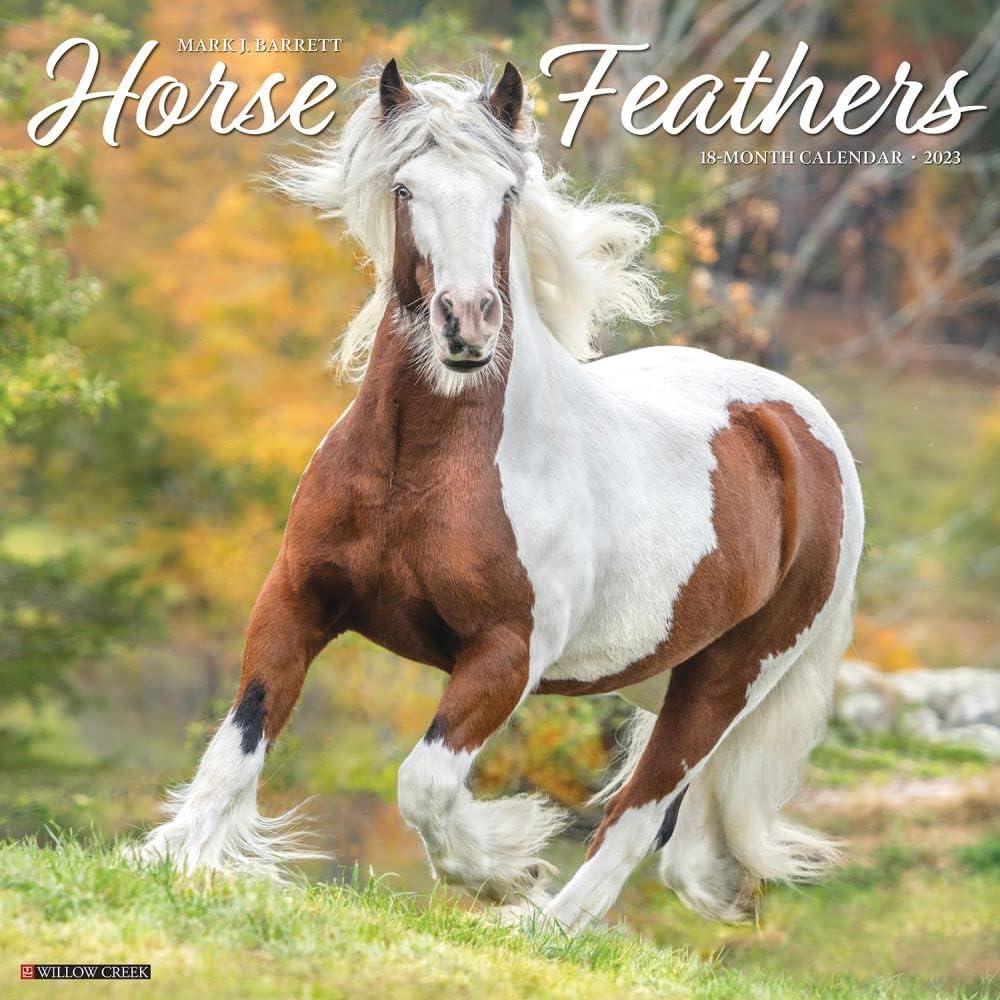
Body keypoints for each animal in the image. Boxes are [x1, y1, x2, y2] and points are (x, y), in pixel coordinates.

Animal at [137, 59, 864, 931]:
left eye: (507, 194)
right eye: (405, 188)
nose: (469, 324)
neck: (420, 468)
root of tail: (804, 430)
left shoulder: (505, 655)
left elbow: (424, 784)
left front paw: (505, 870)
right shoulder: (297, 597)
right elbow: (242, 735)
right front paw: (170, 858)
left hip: (732, 675)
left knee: (639, 813)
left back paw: (541, 921)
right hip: (675, 671)